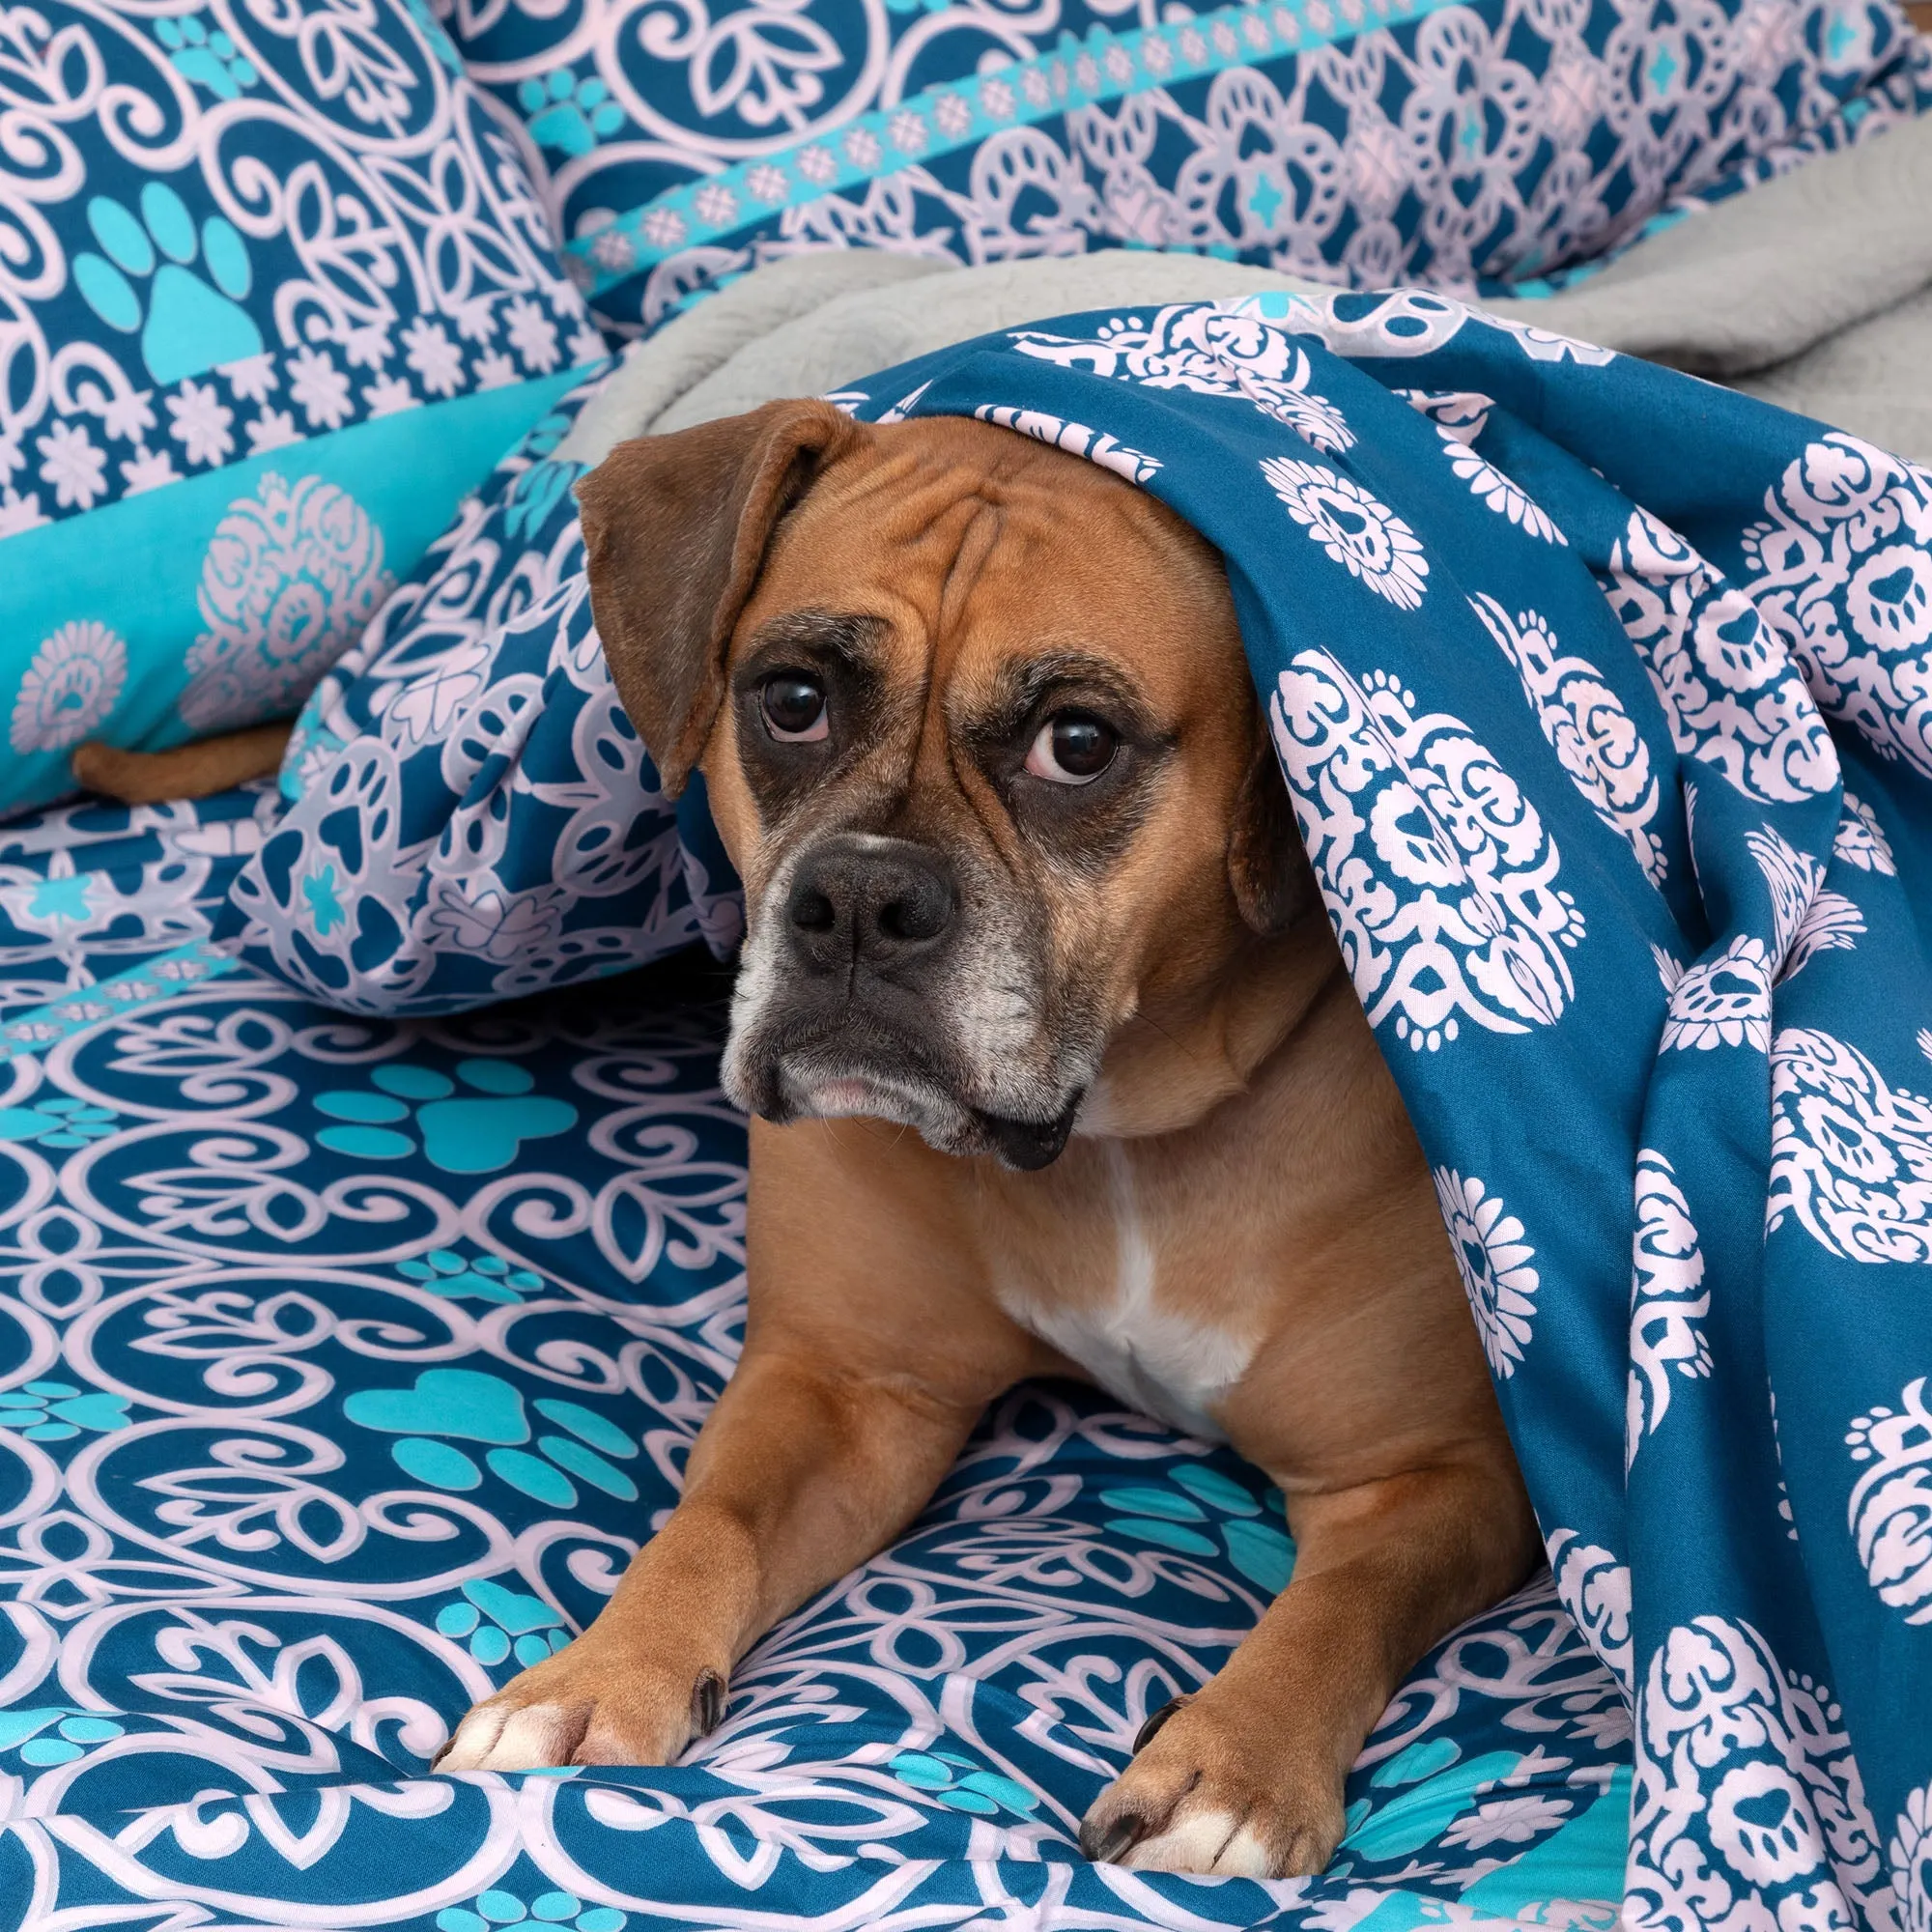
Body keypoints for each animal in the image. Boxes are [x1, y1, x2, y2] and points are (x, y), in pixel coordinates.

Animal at [431, 404, 1530, 1870]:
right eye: (792, 700)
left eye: (1079, 742)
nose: (857, 898)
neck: (1114, 1135)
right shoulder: (847, 1388)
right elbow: (710, 1523)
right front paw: (594, 1678)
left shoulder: (1437, 1477)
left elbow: (1336, 1612)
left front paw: (1232, 1772)